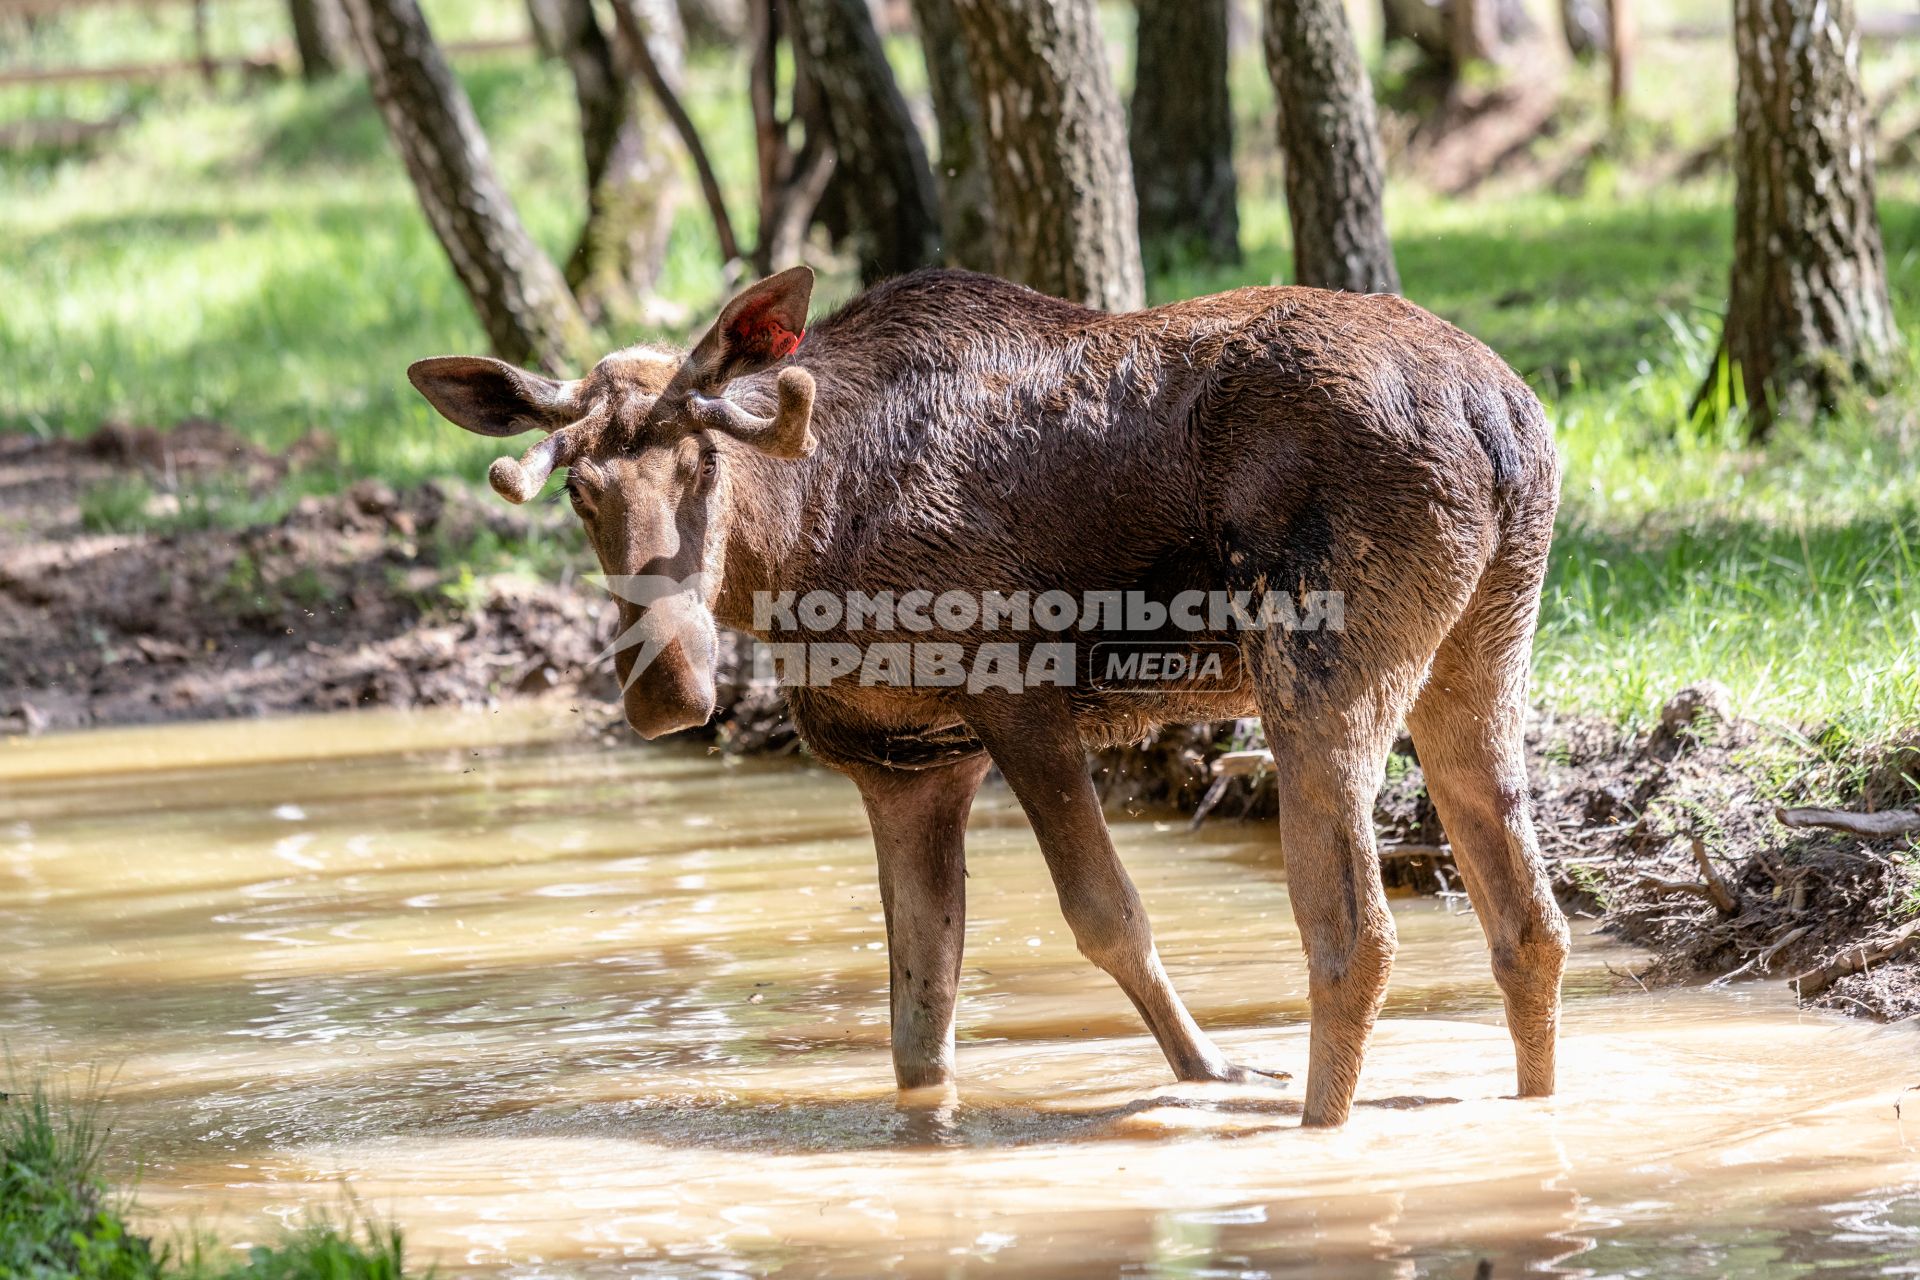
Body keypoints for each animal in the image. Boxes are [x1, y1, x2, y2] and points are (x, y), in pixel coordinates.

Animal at [412, 264, 1566, 1128]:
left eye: (704, 461)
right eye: (579, 490)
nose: (667, 687)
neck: (796, 542)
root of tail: (1499, 419)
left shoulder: (1017, 703)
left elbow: (1108, 917)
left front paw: (1218, 1073)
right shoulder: (905, 762)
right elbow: (920, 1013)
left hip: (1318, 669)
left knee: (1353, 934)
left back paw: (1315, 1128)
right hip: (1483, 649)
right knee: (1529, 922)